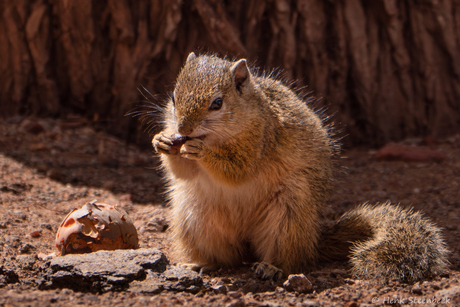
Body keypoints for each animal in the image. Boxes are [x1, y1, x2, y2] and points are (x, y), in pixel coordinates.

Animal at [152, 52, 450, 284]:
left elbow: (237, 170)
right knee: (229, 258)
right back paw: (201, 264)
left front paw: (200, 151)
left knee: (292, 259)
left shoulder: (261, 140)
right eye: (174, 97)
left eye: (217, 103)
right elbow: (184, 172)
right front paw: (161, 140)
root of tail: (314, 241)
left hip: (289, 216)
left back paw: (272, 267)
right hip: (195, 218)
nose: (183, 130)